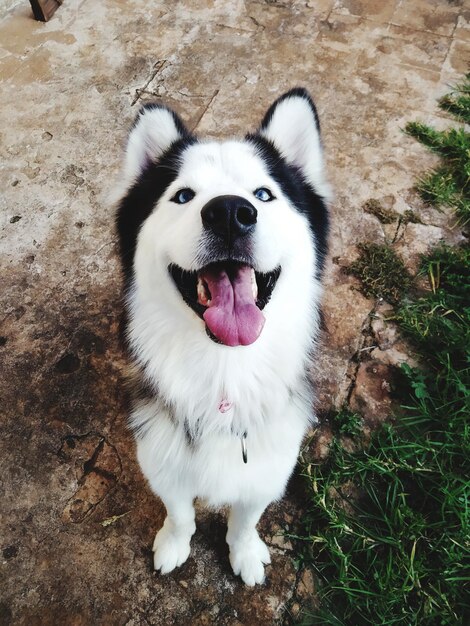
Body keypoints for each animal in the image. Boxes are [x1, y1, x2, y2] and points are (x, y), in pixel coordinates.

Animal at [116, 89, 330, 584]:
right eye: (183, 195)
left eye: (264, 194)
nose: (230, 212)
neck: (225, 369)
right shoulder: (162, 458)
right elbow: (180, 514)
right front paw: (173, 545)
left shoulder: (268, 465)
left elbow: (245, 518)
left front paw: (245, 553)